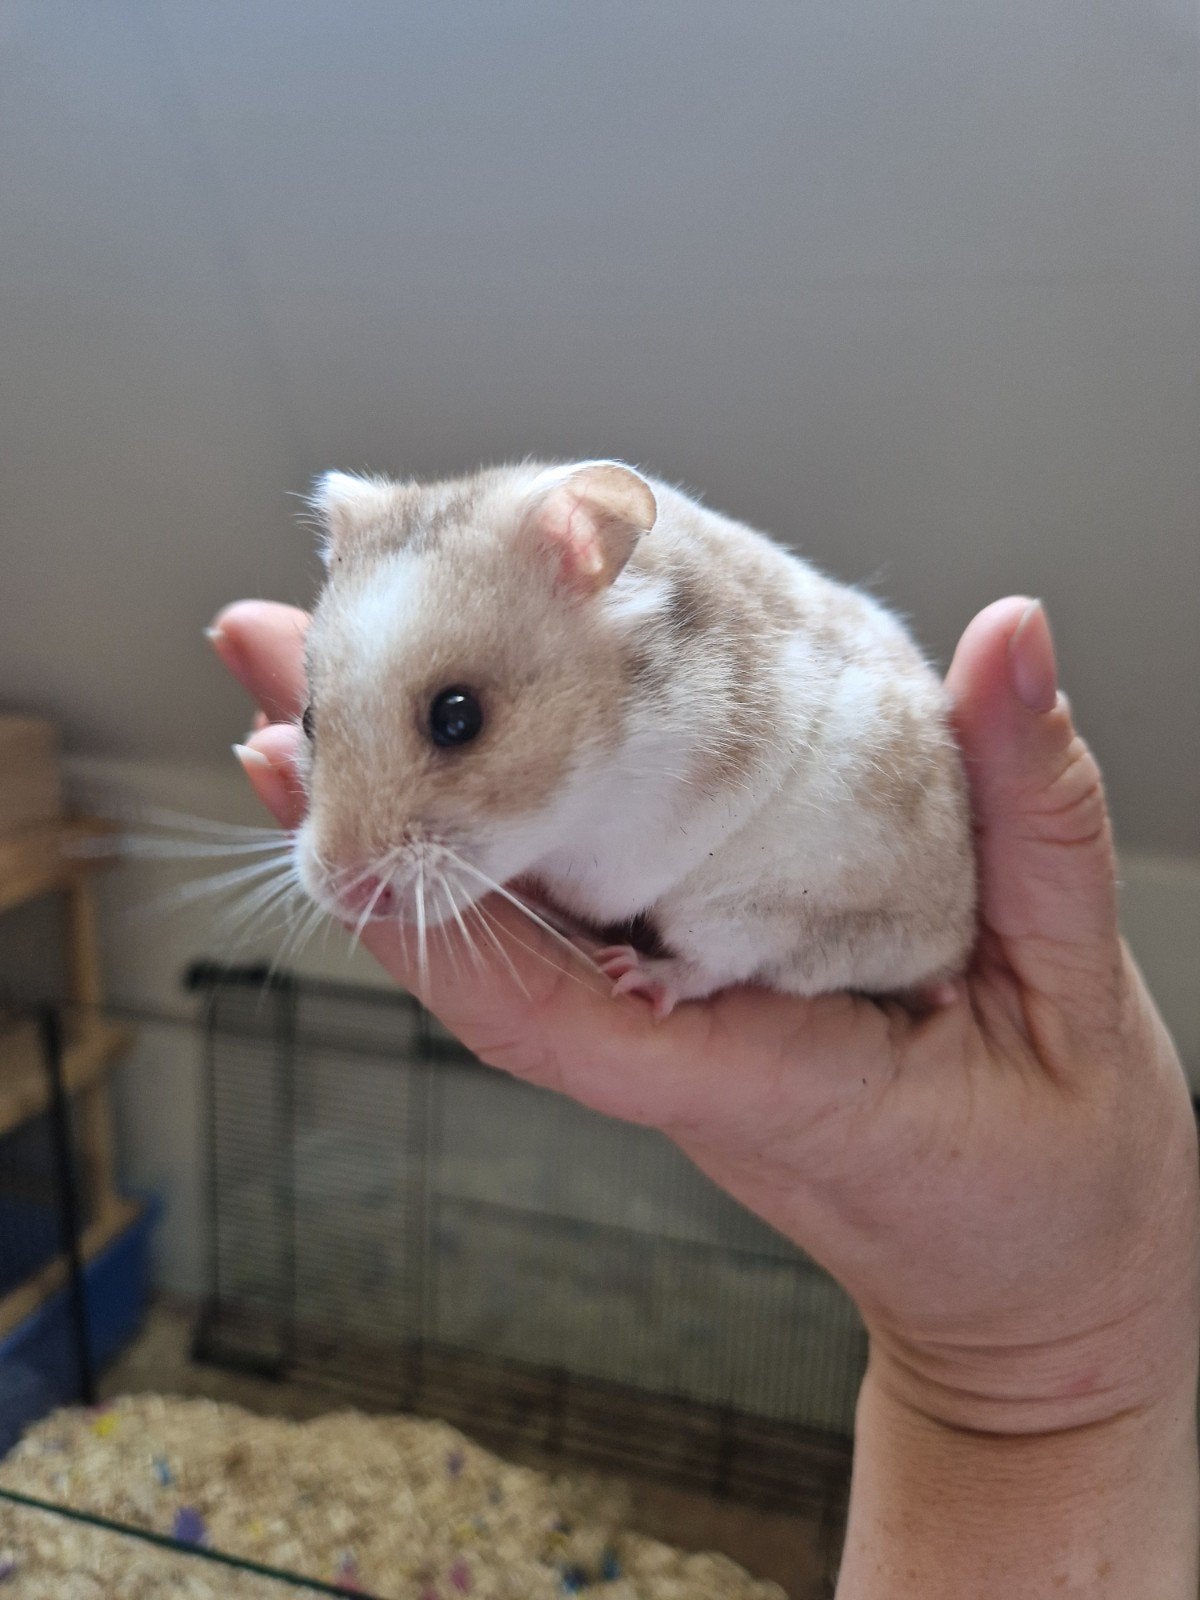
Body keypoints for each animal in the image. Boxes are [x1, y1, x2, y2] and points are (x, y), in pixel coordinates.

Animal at [294, 460, 976, 1017]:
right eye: (306, 720)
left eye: (458, 718)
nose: (348, 895)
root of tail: (951, 949)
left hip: (762, 908)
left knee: (719, 965)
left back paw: (637, 974)